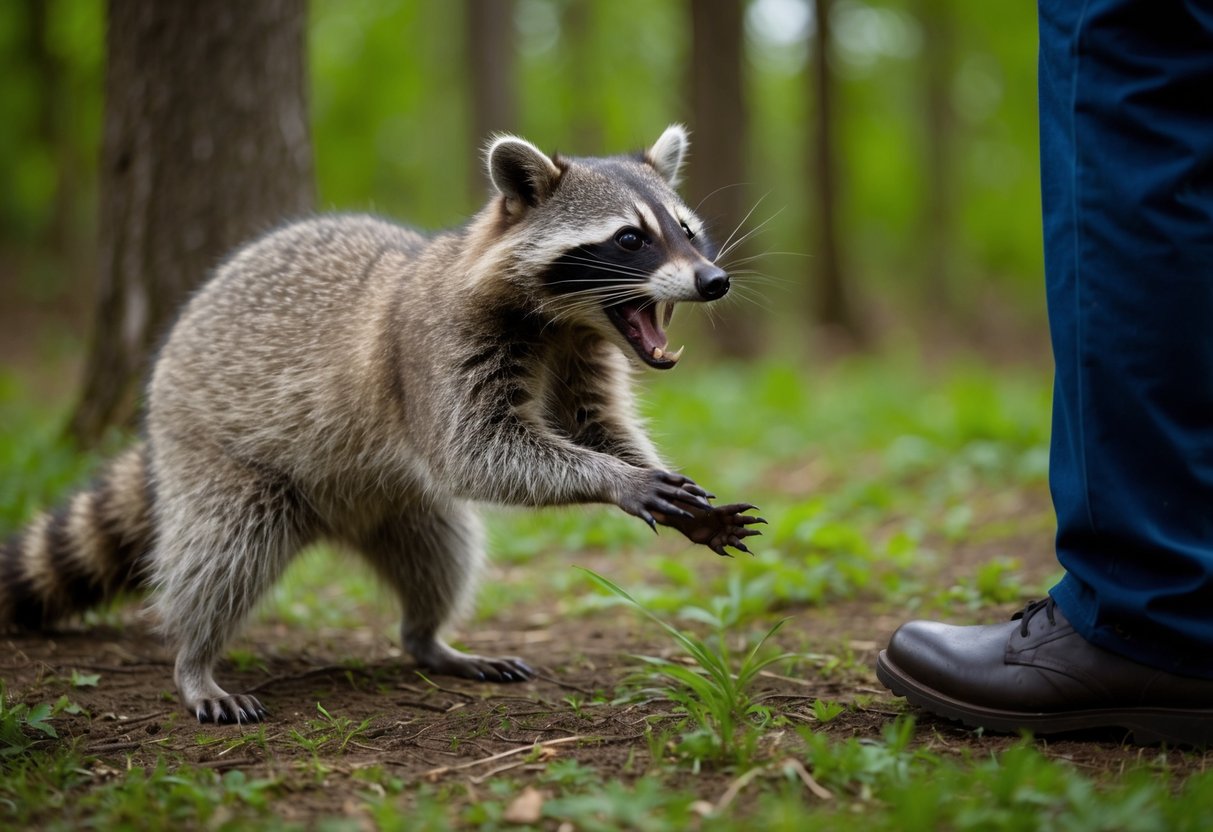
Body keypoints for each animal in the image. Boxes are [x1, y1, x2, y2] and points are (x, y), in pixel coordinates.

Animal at [1, 125, 763, 724]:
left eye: (686, 230)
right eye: (630, 239)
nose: (712, 280)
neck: (563, 323)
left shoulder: (582, 358)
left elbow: (594, 426)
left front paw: (654, 476)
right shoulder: (437, 349)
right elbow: (476, 452)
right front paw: (618, 482)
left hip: (396, 503)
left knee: (442, 553)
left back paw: (429, 637)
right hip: (210, 444)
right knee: (223, 550)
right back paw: (194, 657)